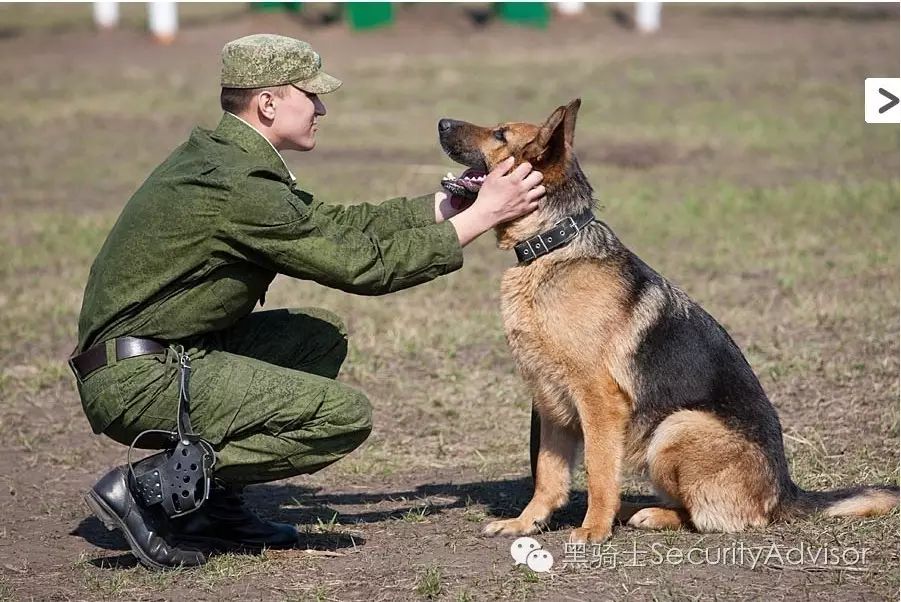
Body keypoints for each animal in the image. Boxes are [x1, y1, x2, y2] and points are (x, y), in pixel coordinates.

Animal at [434, 99, 892, 544]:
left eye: (500, 134)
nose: (441, 122)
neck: (553, 245)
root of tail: (784, 492)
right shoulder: (549, 402)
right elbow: (547, 475)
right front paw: (525, 524)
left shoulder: (598, 401)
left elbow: (599, 471)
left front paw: (593, 529)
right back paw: (633, 511)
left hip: (676, 427)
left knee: (711, 518)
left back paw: (645, 514)